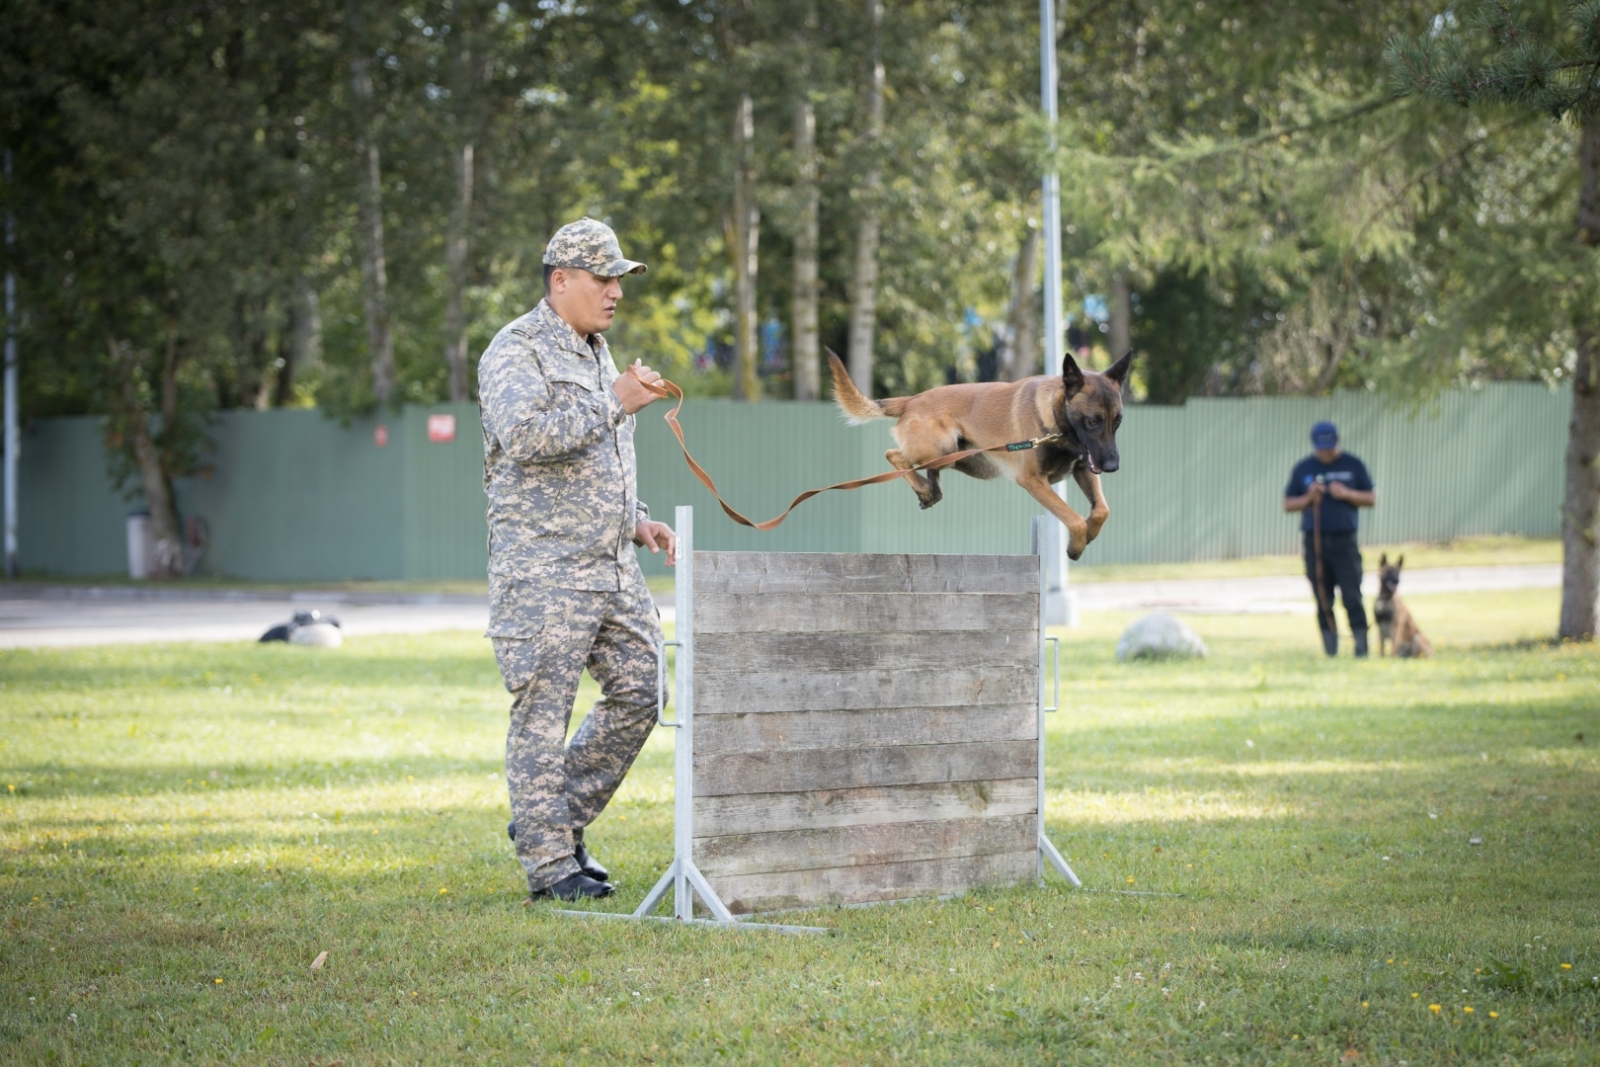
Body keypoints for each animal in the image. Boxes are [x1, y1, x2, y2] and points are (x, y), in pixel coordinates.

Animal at [832, 351, 1132, 566]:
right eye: (1093, 421)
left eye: (1117, 421)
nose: (1112, 466)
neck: (1055, 416)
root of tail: (912, 400)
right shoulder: (1032, 480)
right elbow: (1074, 518)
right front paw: (1075, 546)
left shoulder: (1084, 466)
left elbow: (1101, 510)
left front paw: (1090, 533)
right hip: (943, 448)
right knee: (894, 455)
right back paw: (924, 489)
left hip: (954, 455)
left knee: (923, 470)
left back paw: (930, 491)